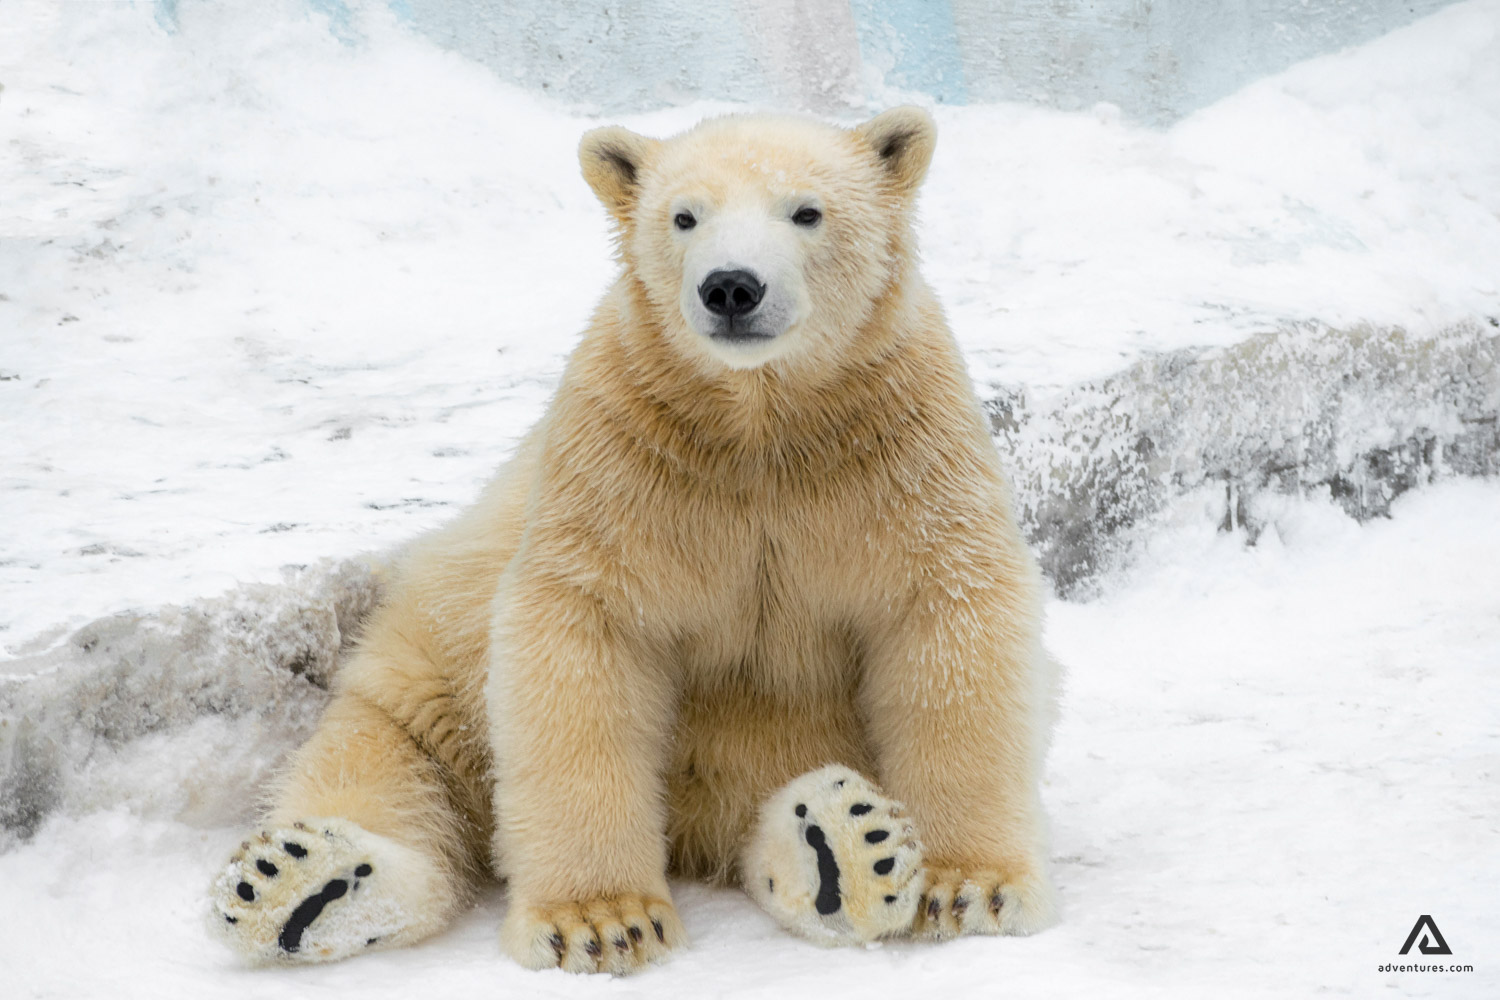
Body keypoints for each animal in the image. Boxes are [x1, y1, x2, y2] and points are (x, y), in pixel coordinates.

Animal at [209, 107, 1059, 973]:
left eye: (807, 211)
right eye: (683, 216)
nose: (731, 287)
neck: (761, 423)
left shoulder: (896, 447)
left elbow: (948, 624)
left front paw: (971, 888)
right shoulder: (627, 458)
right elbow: (586, 641)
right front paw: (602, 921)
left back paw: (842, 845)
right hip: (422, 673)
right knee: (388, 767)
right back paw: (304, 882)